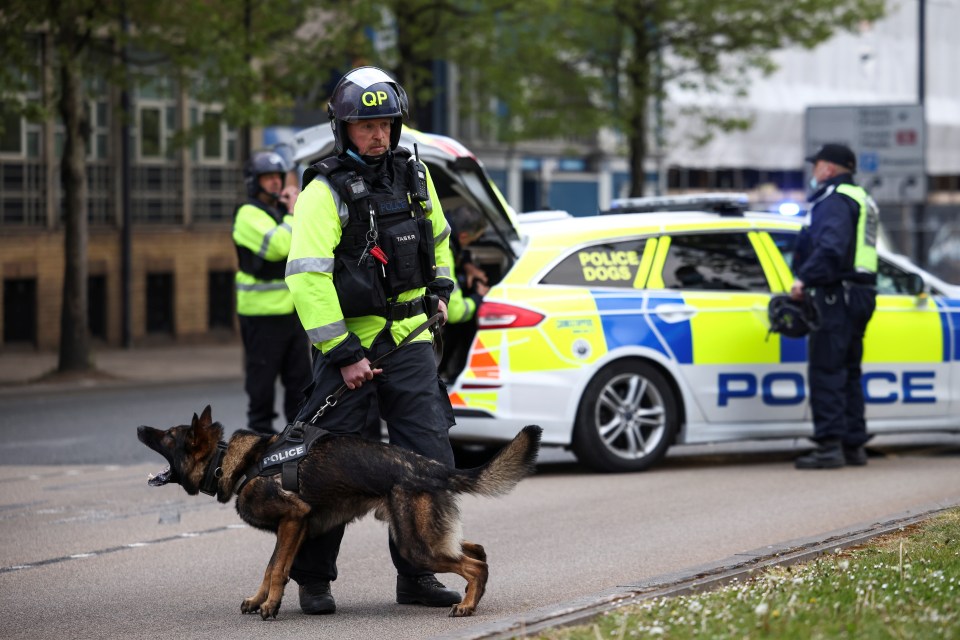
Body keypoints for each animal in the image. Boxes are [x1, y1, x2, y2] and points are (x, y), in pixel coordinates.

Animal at [137, 404, 540, 620]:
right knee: (476, 550)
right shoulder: (292, 528)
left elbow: (278, 569)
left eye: (169, 436)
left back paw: (467, 606)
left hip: (416, 545)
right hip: (425, 535)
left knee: (474, 565)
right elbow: (270, 567)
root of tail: (432, 467)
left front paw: (271, 605)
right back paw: (473, 595)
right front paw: (258, 599)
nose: (139, 427)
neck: (236, 463)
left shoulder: (293, 519)